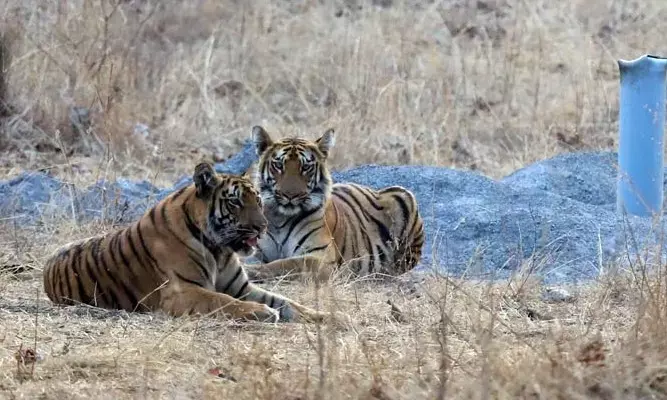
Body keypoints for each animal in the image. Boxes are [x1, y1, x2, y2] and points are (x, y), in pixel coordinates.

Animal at [42, 162, 343, 324]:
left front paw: (333, 319)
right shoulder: (181, 292)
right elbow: (221, 301)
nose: (262, 226)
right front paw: (261, 312)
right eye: (236, 202)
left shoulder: (243, 287)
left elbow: (289, 303)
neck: (219, 250)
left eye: (257, 199)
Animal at [244, 125, 425, 283]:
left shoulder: (321, 257)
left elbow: (286, 263)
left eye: (306, 167)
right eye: (279, 165)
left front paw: (250, 271)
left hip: (403, 196)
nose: (290, 195)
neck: (280, 218)